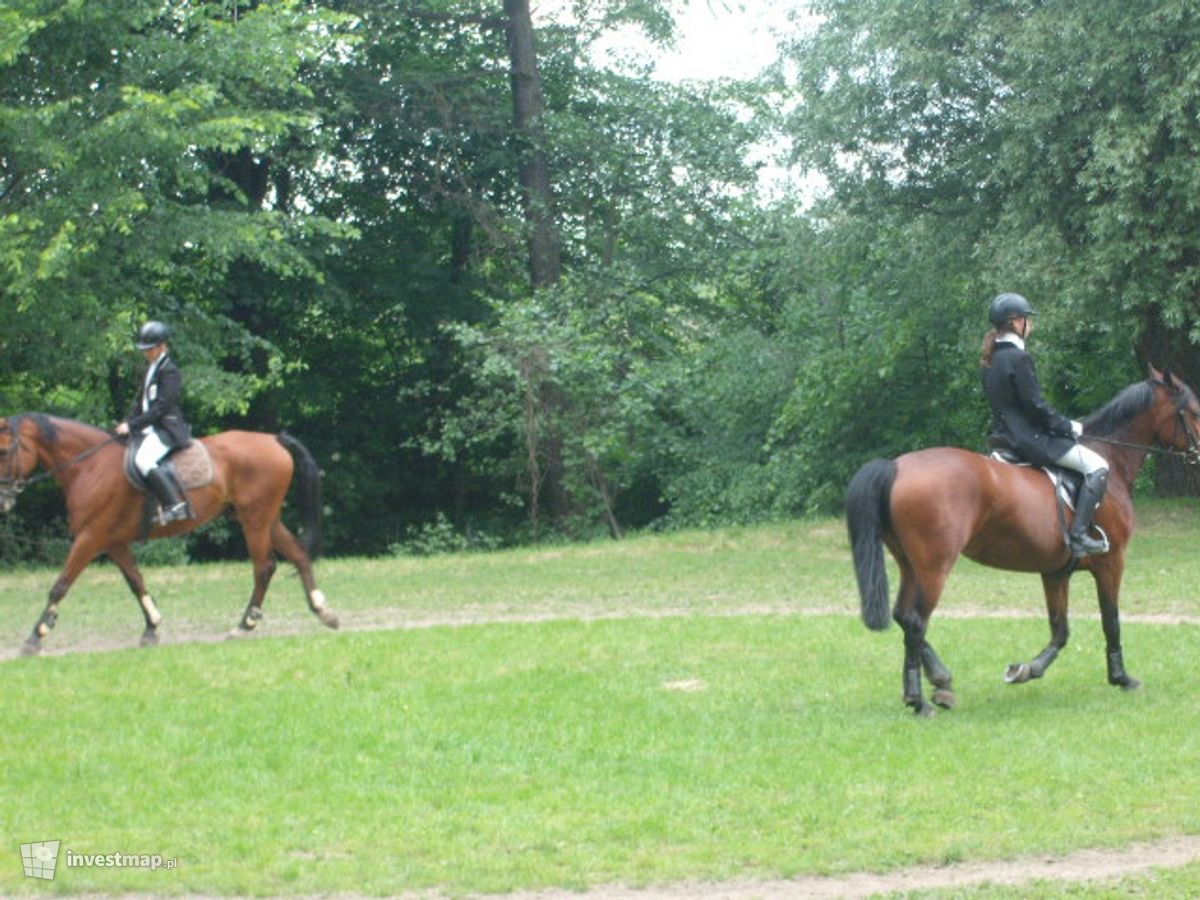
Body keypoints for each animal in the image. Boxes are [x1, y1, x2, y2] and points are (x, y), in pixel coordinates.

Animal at [1, 415, 338, 657]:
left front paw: (35, 637)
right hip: (265, 518)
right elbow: (136, 581)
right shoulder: (113, 542)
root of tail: (273, 439)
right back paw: (323, 612)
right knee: (298, 554)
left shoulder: (90, 538)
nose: (3, 499)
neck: (89, 466)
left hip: (255, 519)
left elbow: (60, 586)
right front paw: (151, 628)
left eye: (4, 450)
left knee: (264, 567)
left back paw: (245, 625)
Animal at [844, 367, 1200, 720]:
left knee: (904, 617)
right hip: (934, 568)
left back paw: (938, 682)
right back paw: (920, 701)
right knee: (916, 622)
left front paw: (1027, 670)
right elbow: (1110, 622)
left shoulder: (1055, 572)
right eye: (1194, 412)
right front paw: (1122, 678)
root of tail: (896, 465)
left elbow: (1060, 630)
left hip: (910, 565)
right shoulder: (1111, 563)